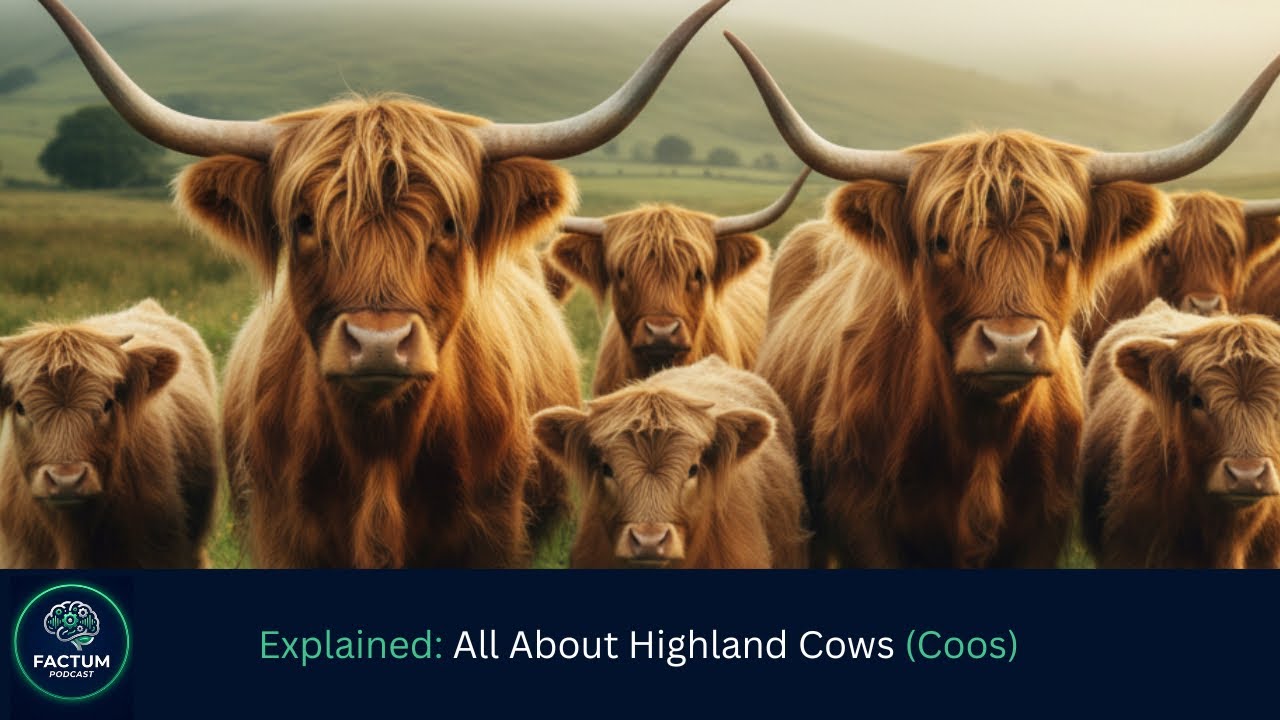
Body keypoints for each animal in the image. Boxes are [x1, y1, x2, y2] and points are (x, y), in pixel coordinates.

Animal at [38, 0, 731, 567]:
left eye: (449, 223)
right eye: (304, 221)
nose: (378, 343)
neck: (378, 449)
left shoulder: (486, 537)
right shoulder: (286, 536)